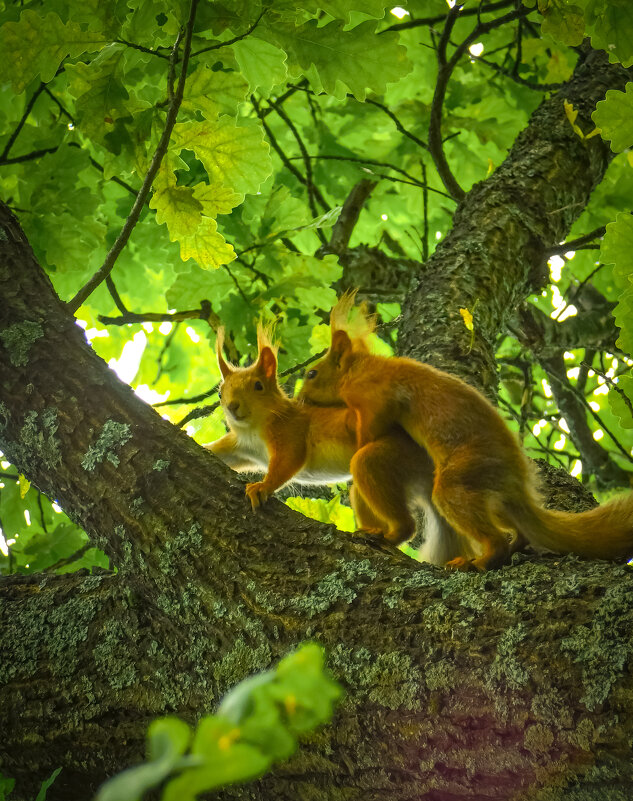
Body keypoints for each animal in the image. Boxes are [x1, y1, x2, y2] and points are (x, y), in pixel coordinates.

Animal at [205, 324, 466, 564]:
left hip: (385, 457)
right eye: (220, 393)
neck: (254, 429)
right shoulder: (241, 448)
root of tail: (428, 469)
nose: (232, 407)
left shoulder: (290, 434)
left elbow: (288, 461)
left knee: (405, 521)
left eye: (258, 386)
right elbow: (220, 454)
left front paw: (262, 487)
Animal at [296, 292, 632, 568]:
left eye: (311, 373)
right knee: (514, 529)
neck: (358, 368)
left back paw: (476, 560)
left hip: (460, 478)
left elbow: (372, 430)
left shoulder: (373, 395)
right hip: (490, 498)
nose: (299, 397)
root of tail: (516, 481)